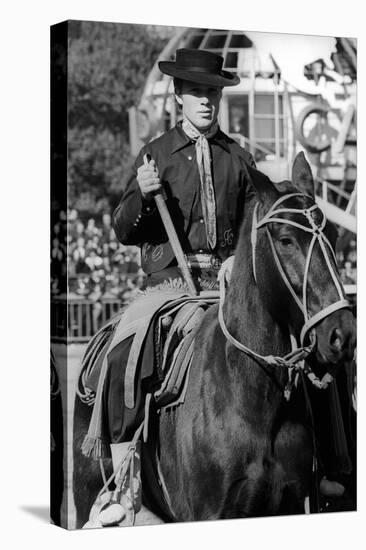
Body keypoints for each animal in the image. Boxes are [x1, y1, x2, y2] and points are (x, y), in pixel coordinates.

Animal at [71, 150, 354, 528]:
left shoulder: (291, 502)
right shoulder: (209, 512)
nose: (342, 332)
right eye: (285, 239)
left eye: (334, 236)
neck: (251, 395)